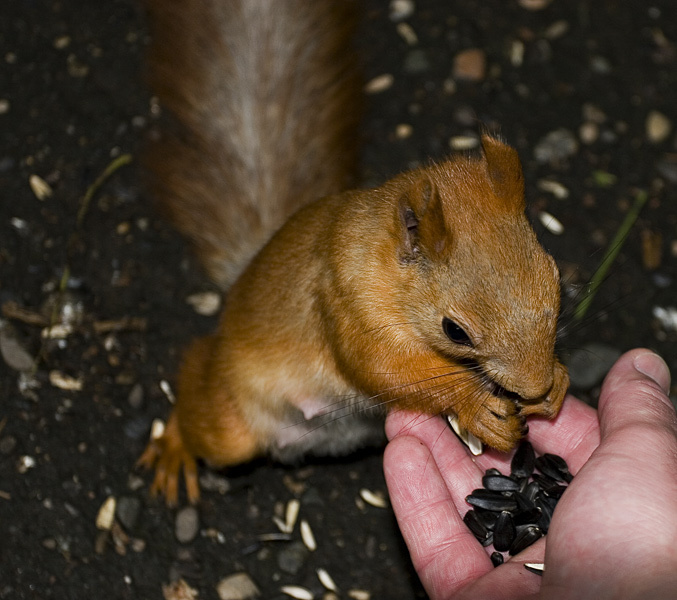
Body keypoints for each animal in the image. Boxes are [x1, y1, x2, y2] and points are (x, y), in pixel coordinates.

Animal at [138, 0, 569, 506]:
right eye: (455, 331)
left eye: (555, 279)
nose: (535, 385)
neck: (384, 263)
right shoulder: (345, 296)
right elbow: (381, 368)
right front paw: (477, 405)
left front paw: (558, 381)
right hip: (229, 417)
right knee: (198, 386)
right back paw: (172, 445)